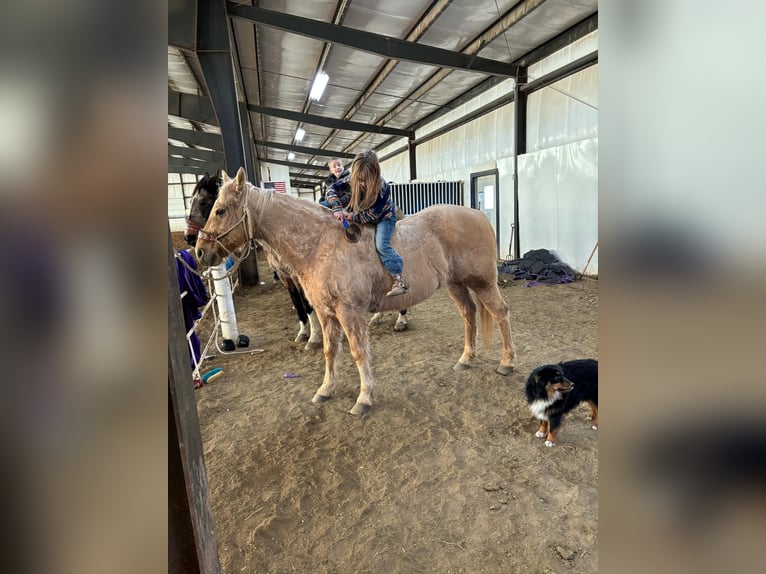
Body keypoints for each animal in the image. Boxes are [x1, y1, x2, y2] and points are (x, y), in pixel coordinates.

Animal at [195, 169, 516, 416]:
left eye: (219, 209)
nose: (199, 250)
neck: (319, 244)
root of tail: (478, 215)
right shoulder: (326, 313)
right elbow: (329, 351)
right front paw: (325, 389)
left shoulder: (349, 312)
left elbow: (358, 352)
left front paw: (364, 398)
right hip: (456, 284)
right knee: (469, 314)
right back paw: (466, 359)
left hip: (483, 282)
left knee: (501, 313)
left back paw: (507, 363)